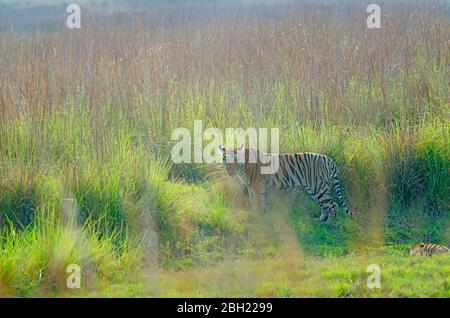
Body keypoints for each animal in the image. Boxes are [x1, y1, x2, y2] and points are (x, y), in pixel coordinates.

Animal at [218, 145, 352, 222]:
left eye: (235, 159)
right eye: (226, 159)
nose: (229, 171)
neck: (242, 169)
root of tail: (328, 159)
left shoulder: (257, 186)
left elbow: (259, 201)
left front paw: (259, 217)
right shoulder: (251, 187)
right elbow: (254, 201)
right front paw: (256, 214)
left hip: (319, 188)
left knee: (333, 205)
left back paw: (328, 224)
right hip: (314, 190)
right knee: (325, 206)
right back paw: (319, 221)